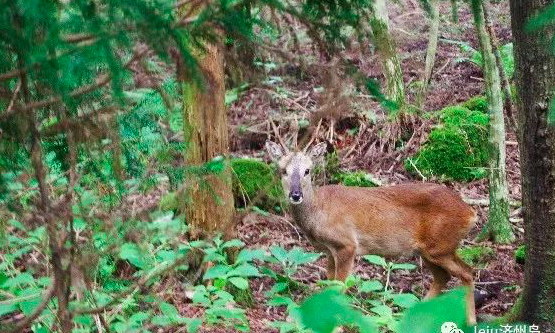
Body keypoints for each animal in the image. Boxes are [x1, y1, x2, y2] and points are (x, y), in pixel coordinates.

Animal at [264, 139, 478, 322]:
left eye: (307, 170)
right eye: (283, 170)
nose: (295, 195)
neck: (318, 211)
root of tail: (470, 212)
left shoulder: (347, 245)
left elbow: (339, 287)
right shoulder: (329, 251)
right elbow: (329, 284)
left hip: (440, 246)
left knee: (467, 272)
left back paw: (470, 320)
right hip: (430, 250)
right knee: (445, 276)